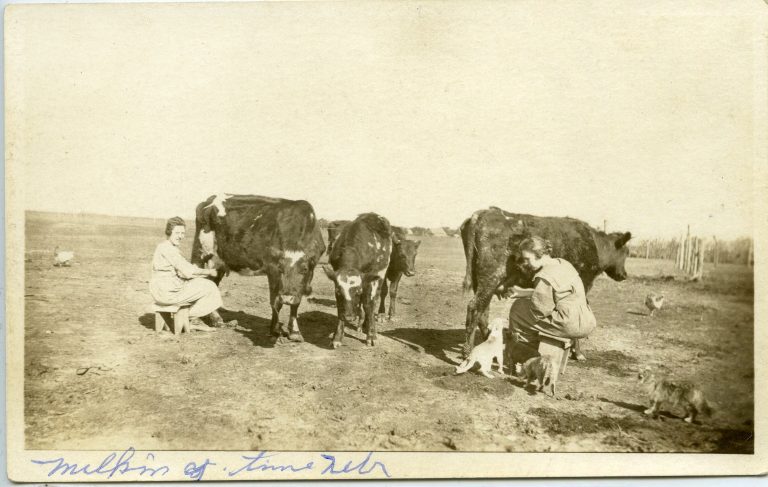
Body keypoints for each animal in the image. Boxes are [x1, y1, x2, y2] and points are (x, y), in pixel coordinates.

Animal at [191, 193, 325, 342]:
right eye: (281, 269)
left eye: (304, 269)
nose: (287, 297)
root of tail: (209, 199)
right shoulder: (272, 269)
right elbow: (275, 302)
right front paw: (275, 330)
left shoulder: (304, 279)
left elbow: (296, 302)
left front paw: (295, 332)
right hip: (200, 252)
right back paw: (201, 319)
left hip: (219, 261)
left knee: (213, 283)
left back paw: (216, 319)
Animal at [323, 213, 393, 348]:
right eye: (338, 291)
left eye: (358, 292)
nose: (349, 317)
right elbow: (340, 308)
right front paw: (337, 337)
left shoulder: (371, 278)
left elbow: (368, 304)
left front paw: (371, 335)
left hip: (381, 275)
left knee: (373, 300)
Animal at [460, 206, 632, 359]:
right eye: (625, 252)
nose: (624, 275)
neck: (594, 244)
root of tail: (483, 212)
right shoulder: (584, 282)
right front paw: (578, 353)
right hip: (491, 277)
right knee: (475, 307)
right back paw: (468, 352)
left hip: (480, 281)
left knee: (483, 311)